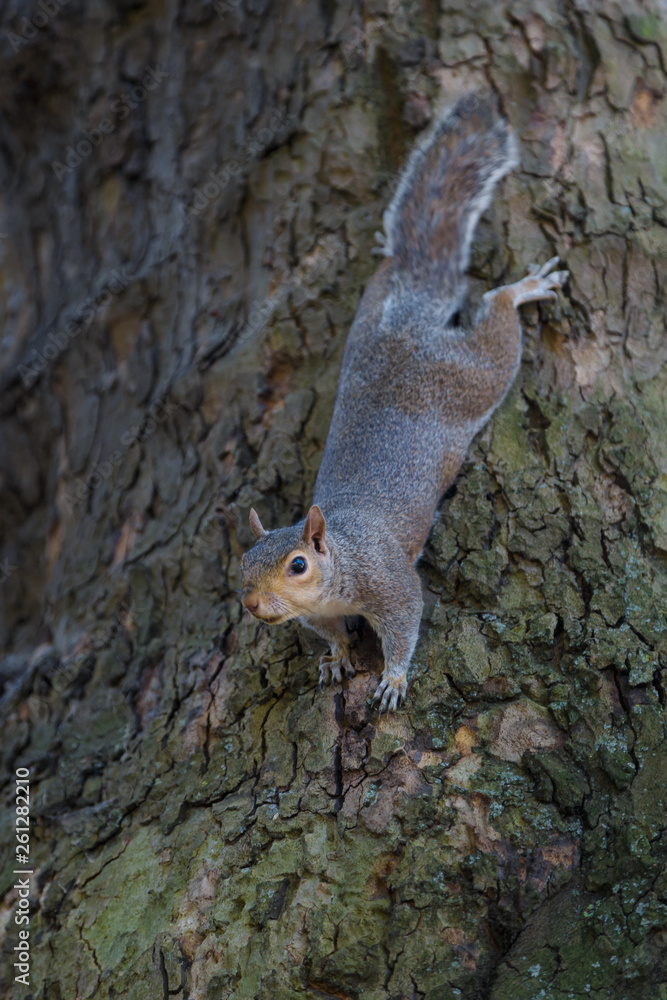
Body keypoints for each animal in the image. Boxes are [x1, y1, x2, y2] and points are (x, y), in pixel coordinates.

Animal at [240, 92, 568, 712]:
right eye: (243, 561)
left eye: (298, 565)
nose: (249, 604)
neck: (341, 559)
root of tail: (407, 321)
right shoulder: (318, 615)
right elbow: (331, 634)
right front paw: (337, 657)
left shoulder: (389, 581)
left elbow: (404, 622)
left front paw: (392, 678)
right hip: (371, 311)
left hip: (471, 377)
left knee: (496, 318)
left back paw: (523, 289)